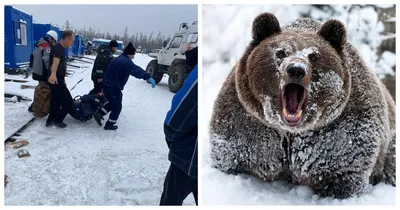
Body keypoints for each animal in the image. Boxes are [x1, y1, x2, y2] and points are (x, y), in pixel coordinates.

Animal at [211, 12, 396, 199]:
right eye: (280, 52)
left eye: (313, 56)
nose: (296, 69)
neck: (290, 133)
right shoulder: (248, 124)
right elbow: (234, 156)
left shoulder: (342, 131)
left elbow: (343, 173)